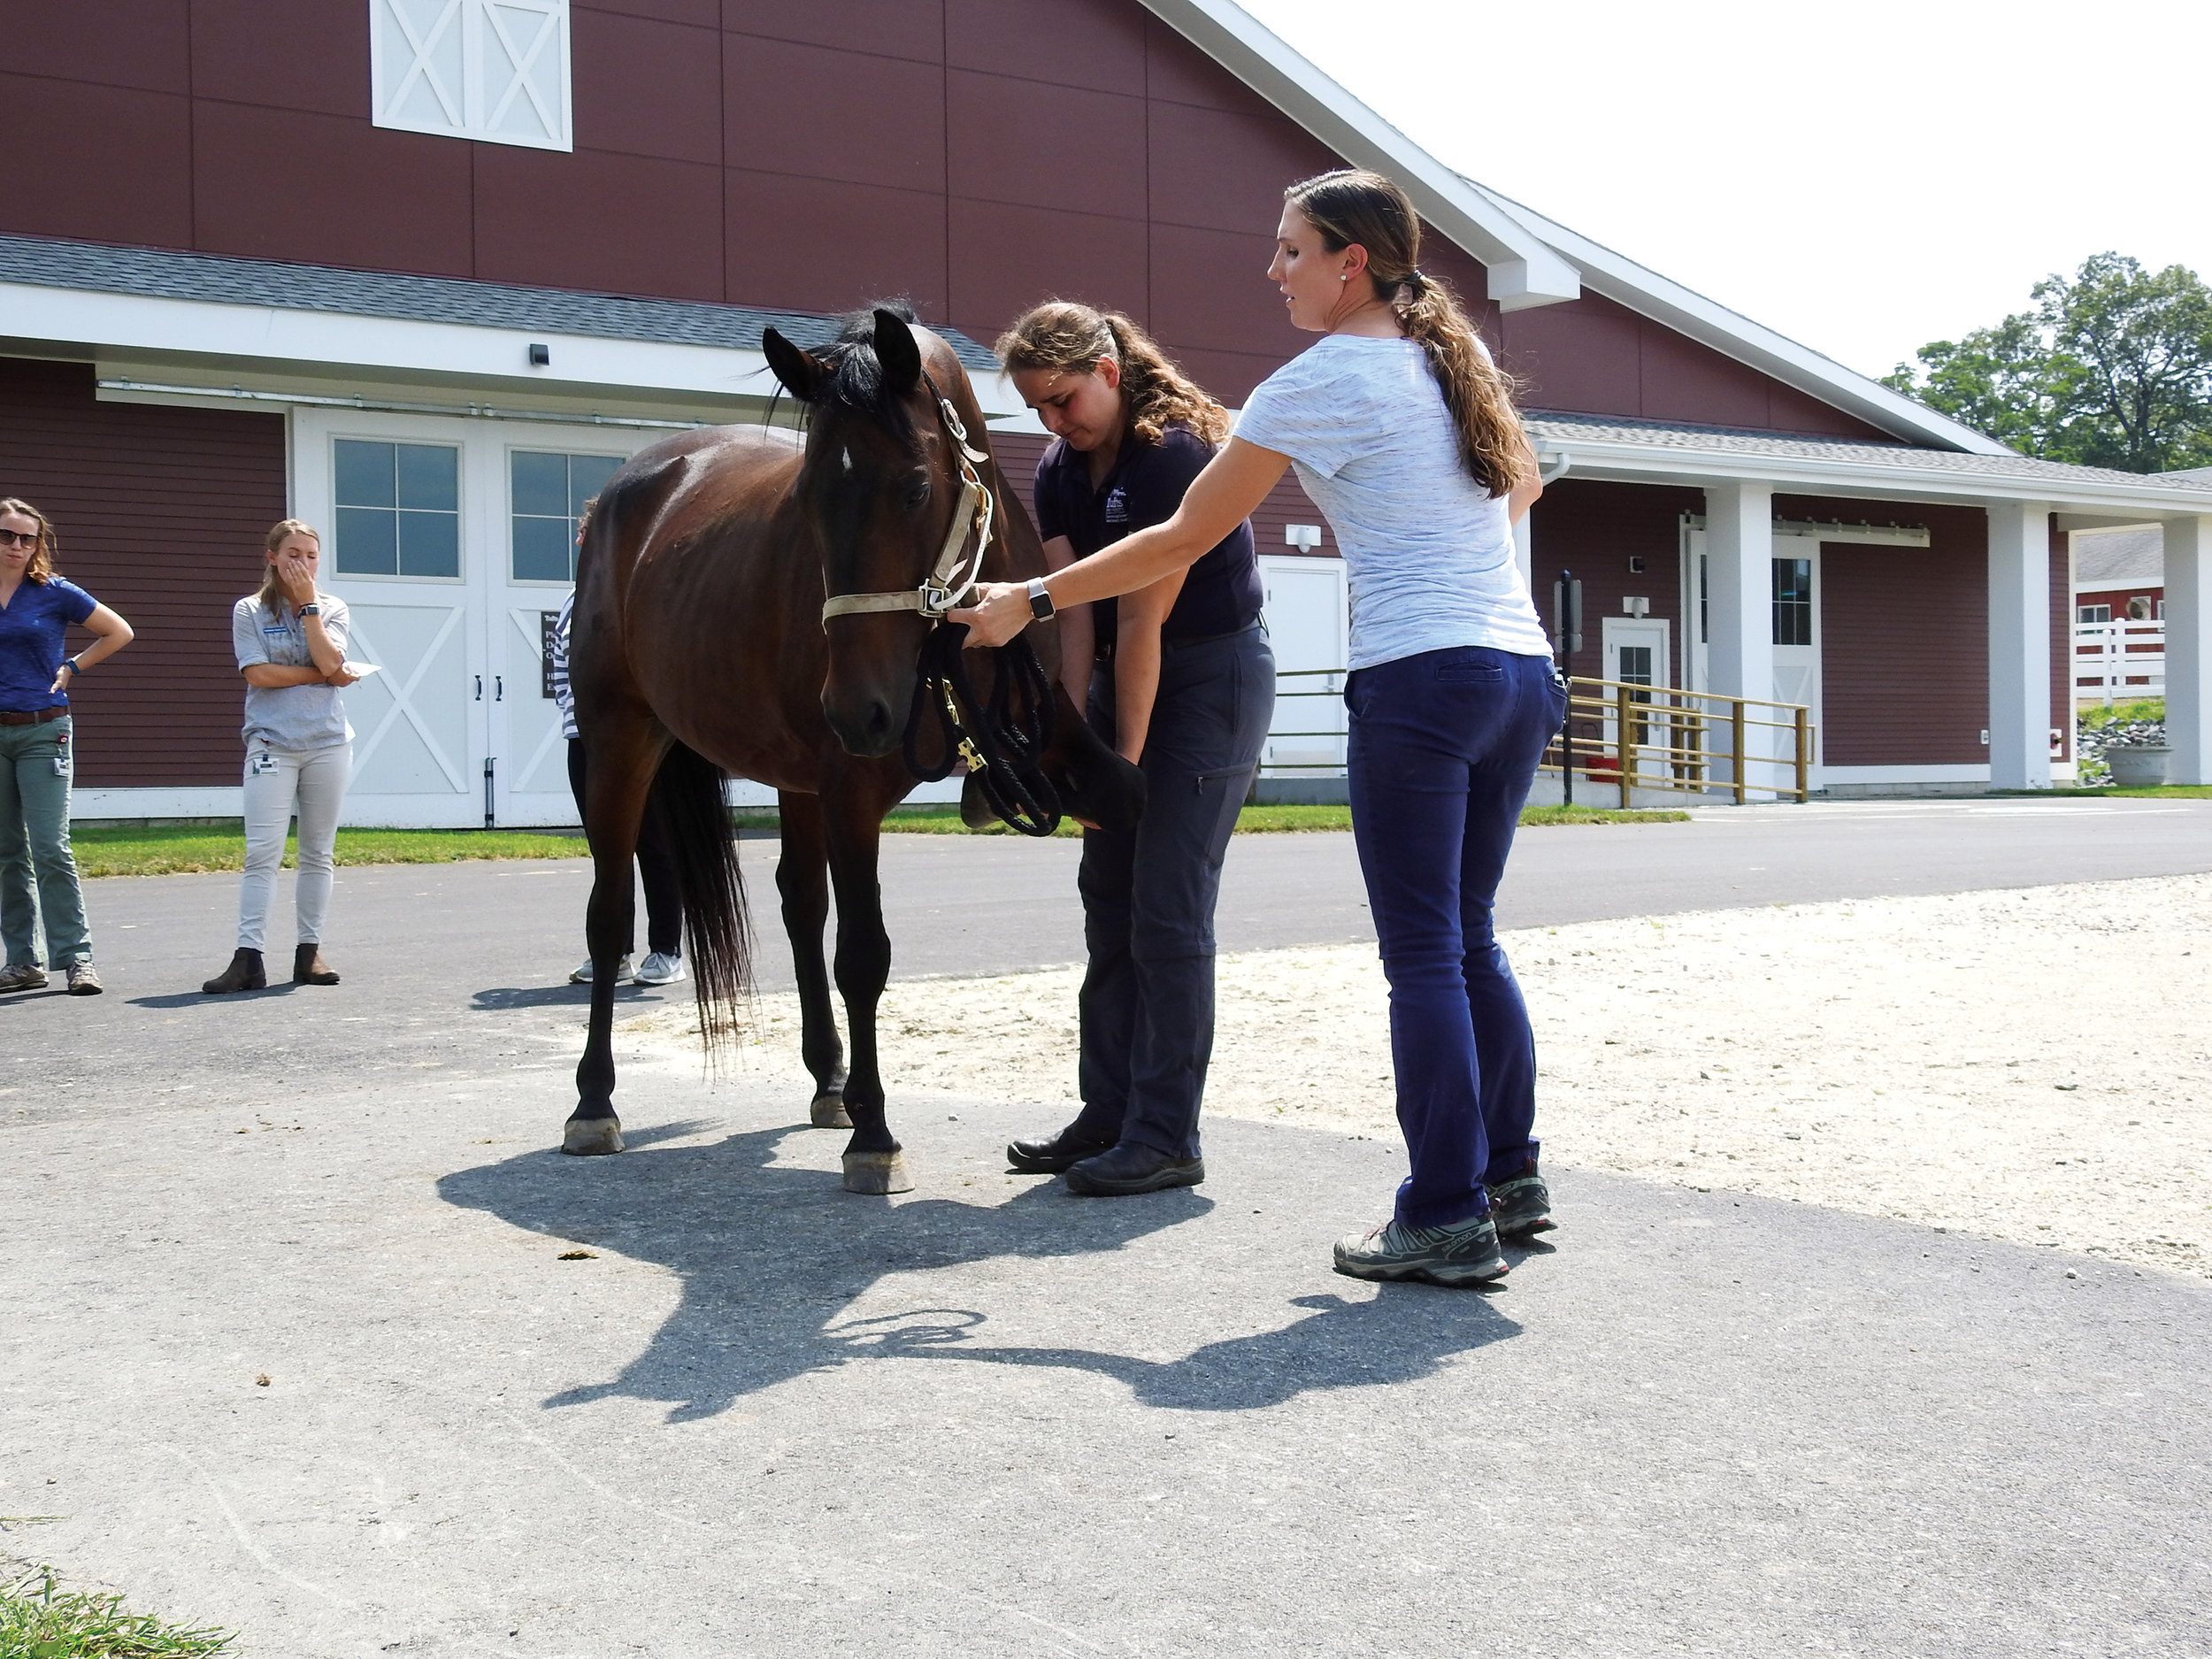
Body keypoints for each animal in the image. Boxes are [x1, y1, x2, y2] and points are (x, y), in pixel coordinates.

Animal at [562, 310, 1141, 1194]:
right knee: (609, 915)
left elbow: (1132, 810)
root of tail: (624, 494)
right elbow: (865, 953)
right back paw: (594, 1102)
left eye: (914, 486)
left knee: (799, 902)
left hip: (792, 778)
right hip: (619, 742)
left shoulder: (1044, 741)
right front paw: (876, 1133)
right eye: (806, 498)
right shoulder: (850, 791)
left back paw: (827, 1078)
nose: (860, 712)